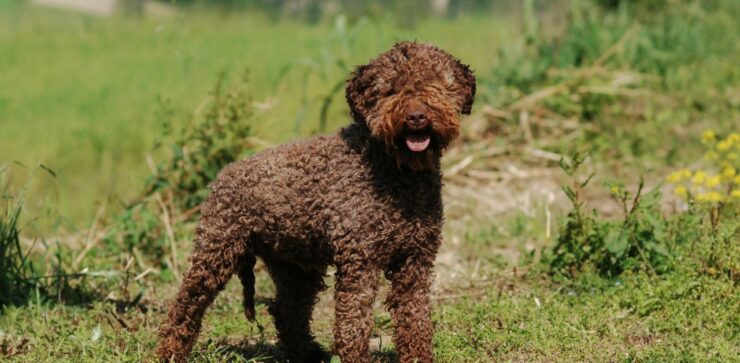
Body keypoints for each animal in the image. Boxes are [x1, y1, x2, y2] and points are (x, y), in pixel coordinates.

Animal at [159, 41, 476, 362]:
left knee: (287, 312)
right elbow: (354, 324)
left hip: (295, 264)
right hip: (217, 250)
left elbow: (416, 320)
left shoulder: (416, 260)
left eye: (436, 84)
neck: (395, 171)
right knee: (185, 306)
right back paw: (169, 351)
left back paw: (308, 353)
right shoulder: (360, 260)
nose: (416, 117)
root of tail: (223, 174)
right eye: (390, 90)